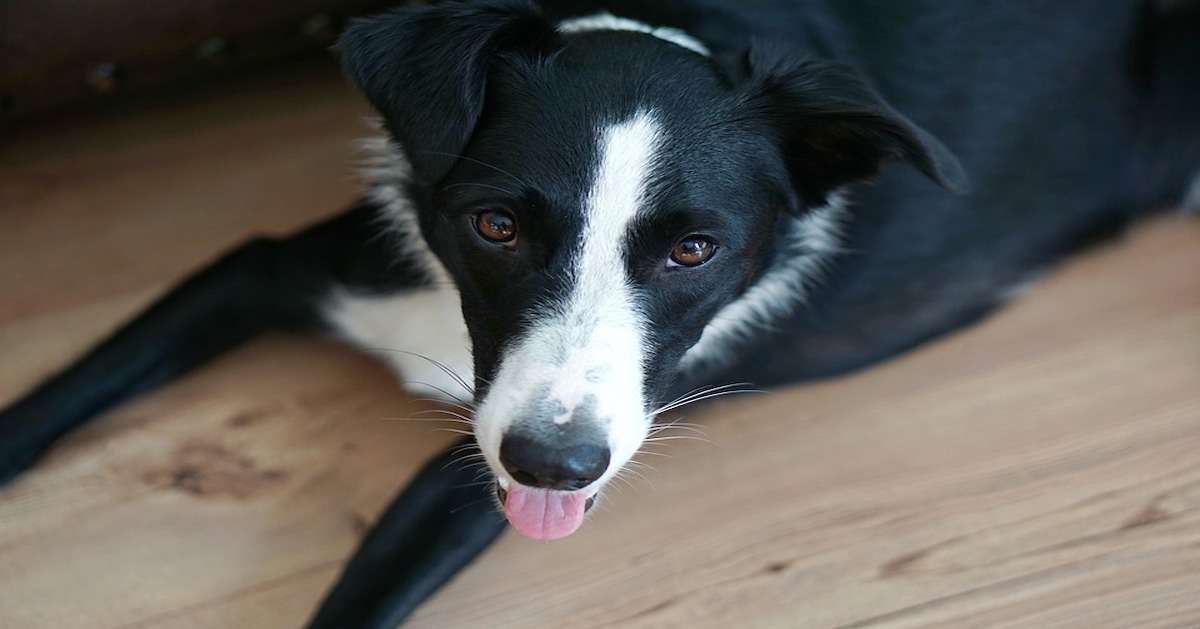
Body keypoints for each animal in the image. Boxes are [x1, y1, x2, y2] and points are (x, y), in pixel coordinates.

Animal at [2, 0, 1200, 624]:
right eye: (493, 225)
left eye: (693, 249)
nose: (554, 463)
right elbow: (53, 399)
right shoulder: (263, 271)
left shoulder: (481, 475)